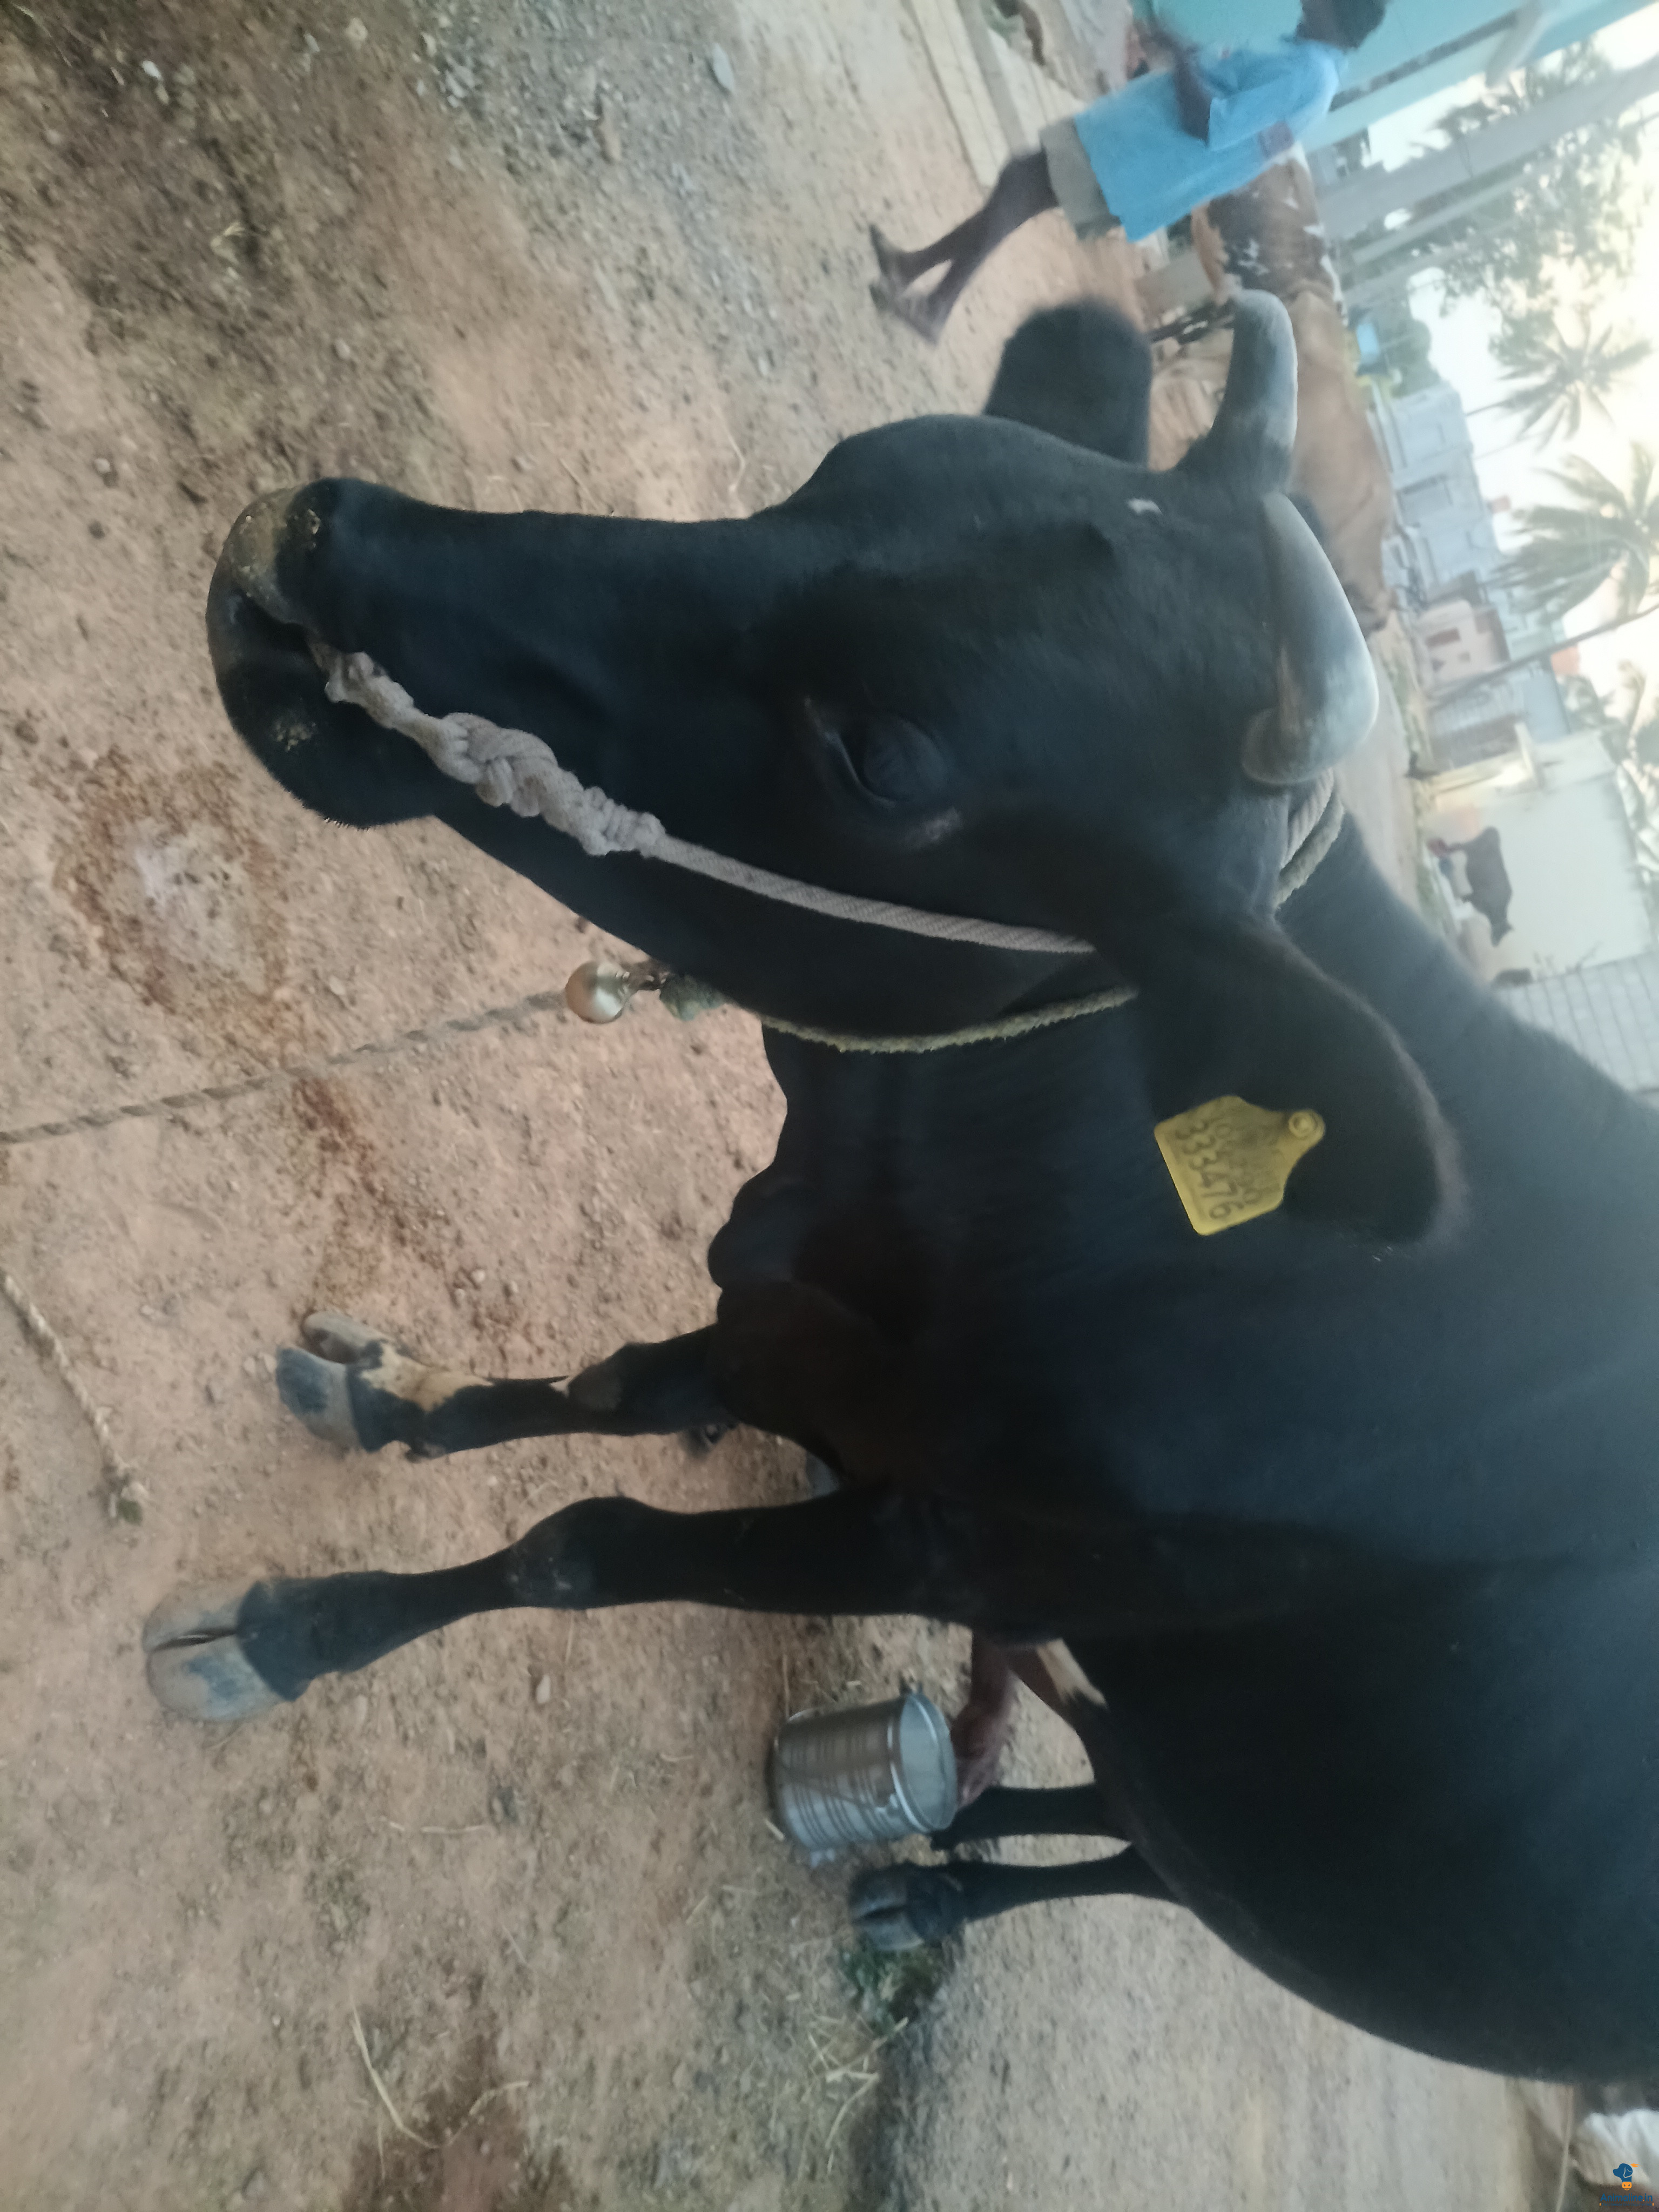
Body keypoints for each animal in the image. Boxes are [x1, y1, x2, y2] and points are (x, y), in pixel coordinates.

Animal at [143, 293, 1659, 2084]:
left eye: (874, 755)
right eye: (841, 473)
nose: (325, 536)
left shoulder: (952, 1549)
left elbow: (579, 1544)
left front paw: (291, 1639)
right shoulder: (784, 1312)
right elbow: (606, 1391)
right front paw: (397, 1405)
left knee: (1151, 1868)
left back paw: (934, 1894)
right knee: (1130, 1810)